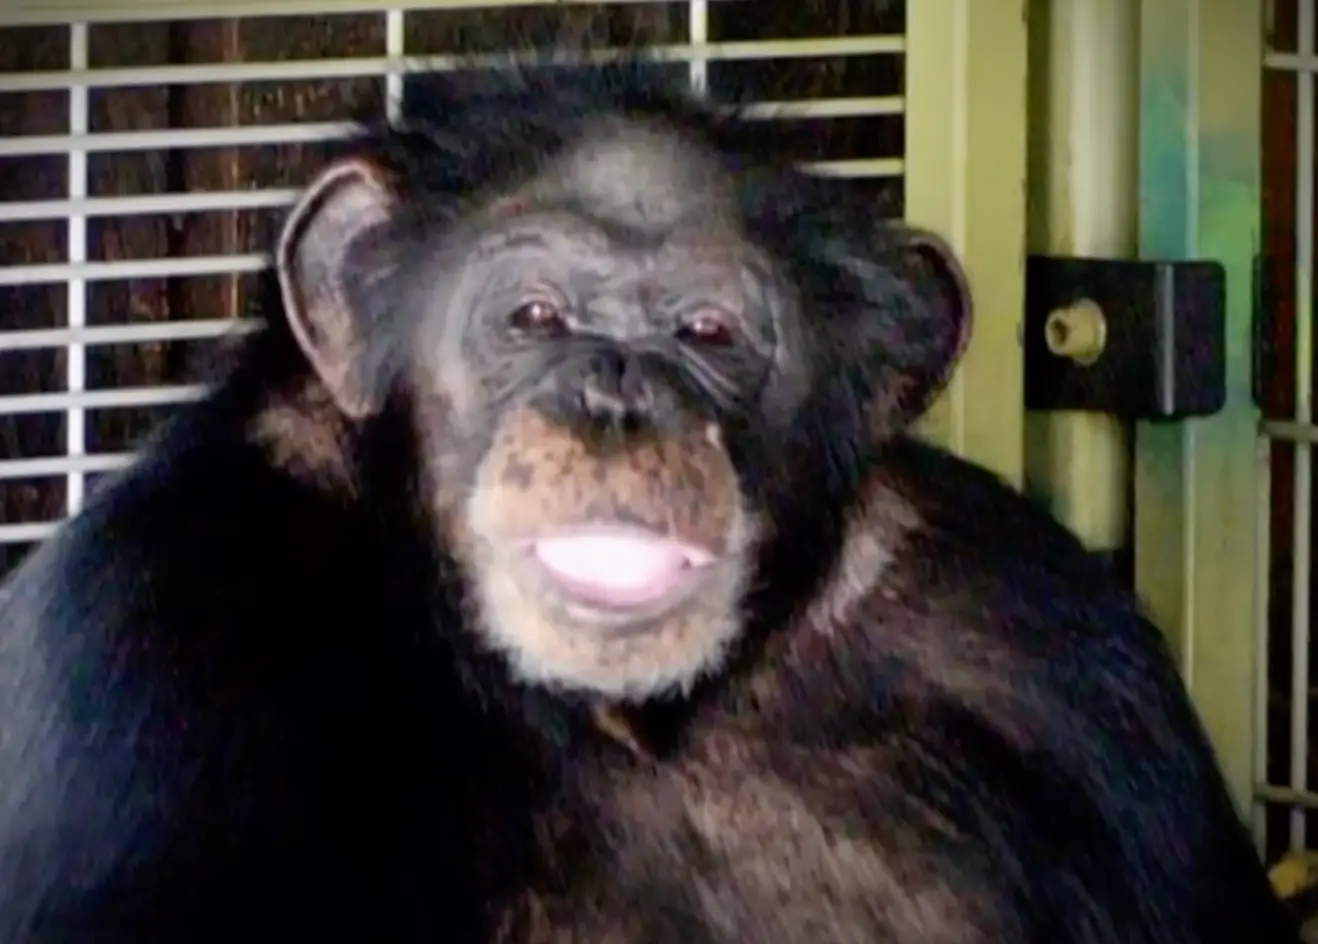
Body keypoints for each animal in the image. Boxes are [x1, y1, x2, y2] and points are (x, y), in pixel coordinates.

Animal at [0, 55, 1299, 943]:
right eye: (533, 315)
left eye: (707, 332)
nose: (618, 396)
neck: (631, 716)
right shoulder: (144, 633)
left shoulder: (1057, 652)